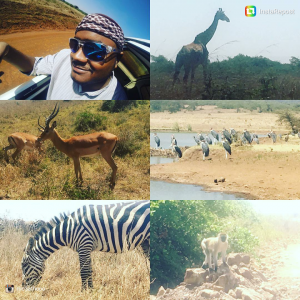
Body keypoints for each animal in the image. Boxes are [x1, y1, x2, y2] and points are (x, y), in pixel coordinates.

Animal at [21, 200, 150, 290]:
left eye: (24, 265)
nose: (23, 287)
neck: (67, 230)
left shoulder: (84, 245)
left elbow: (84, 272)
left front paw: (83, 291)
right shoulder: (86, 248)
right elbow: (89, 270)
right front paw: (91, 290)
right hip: (146, 241)